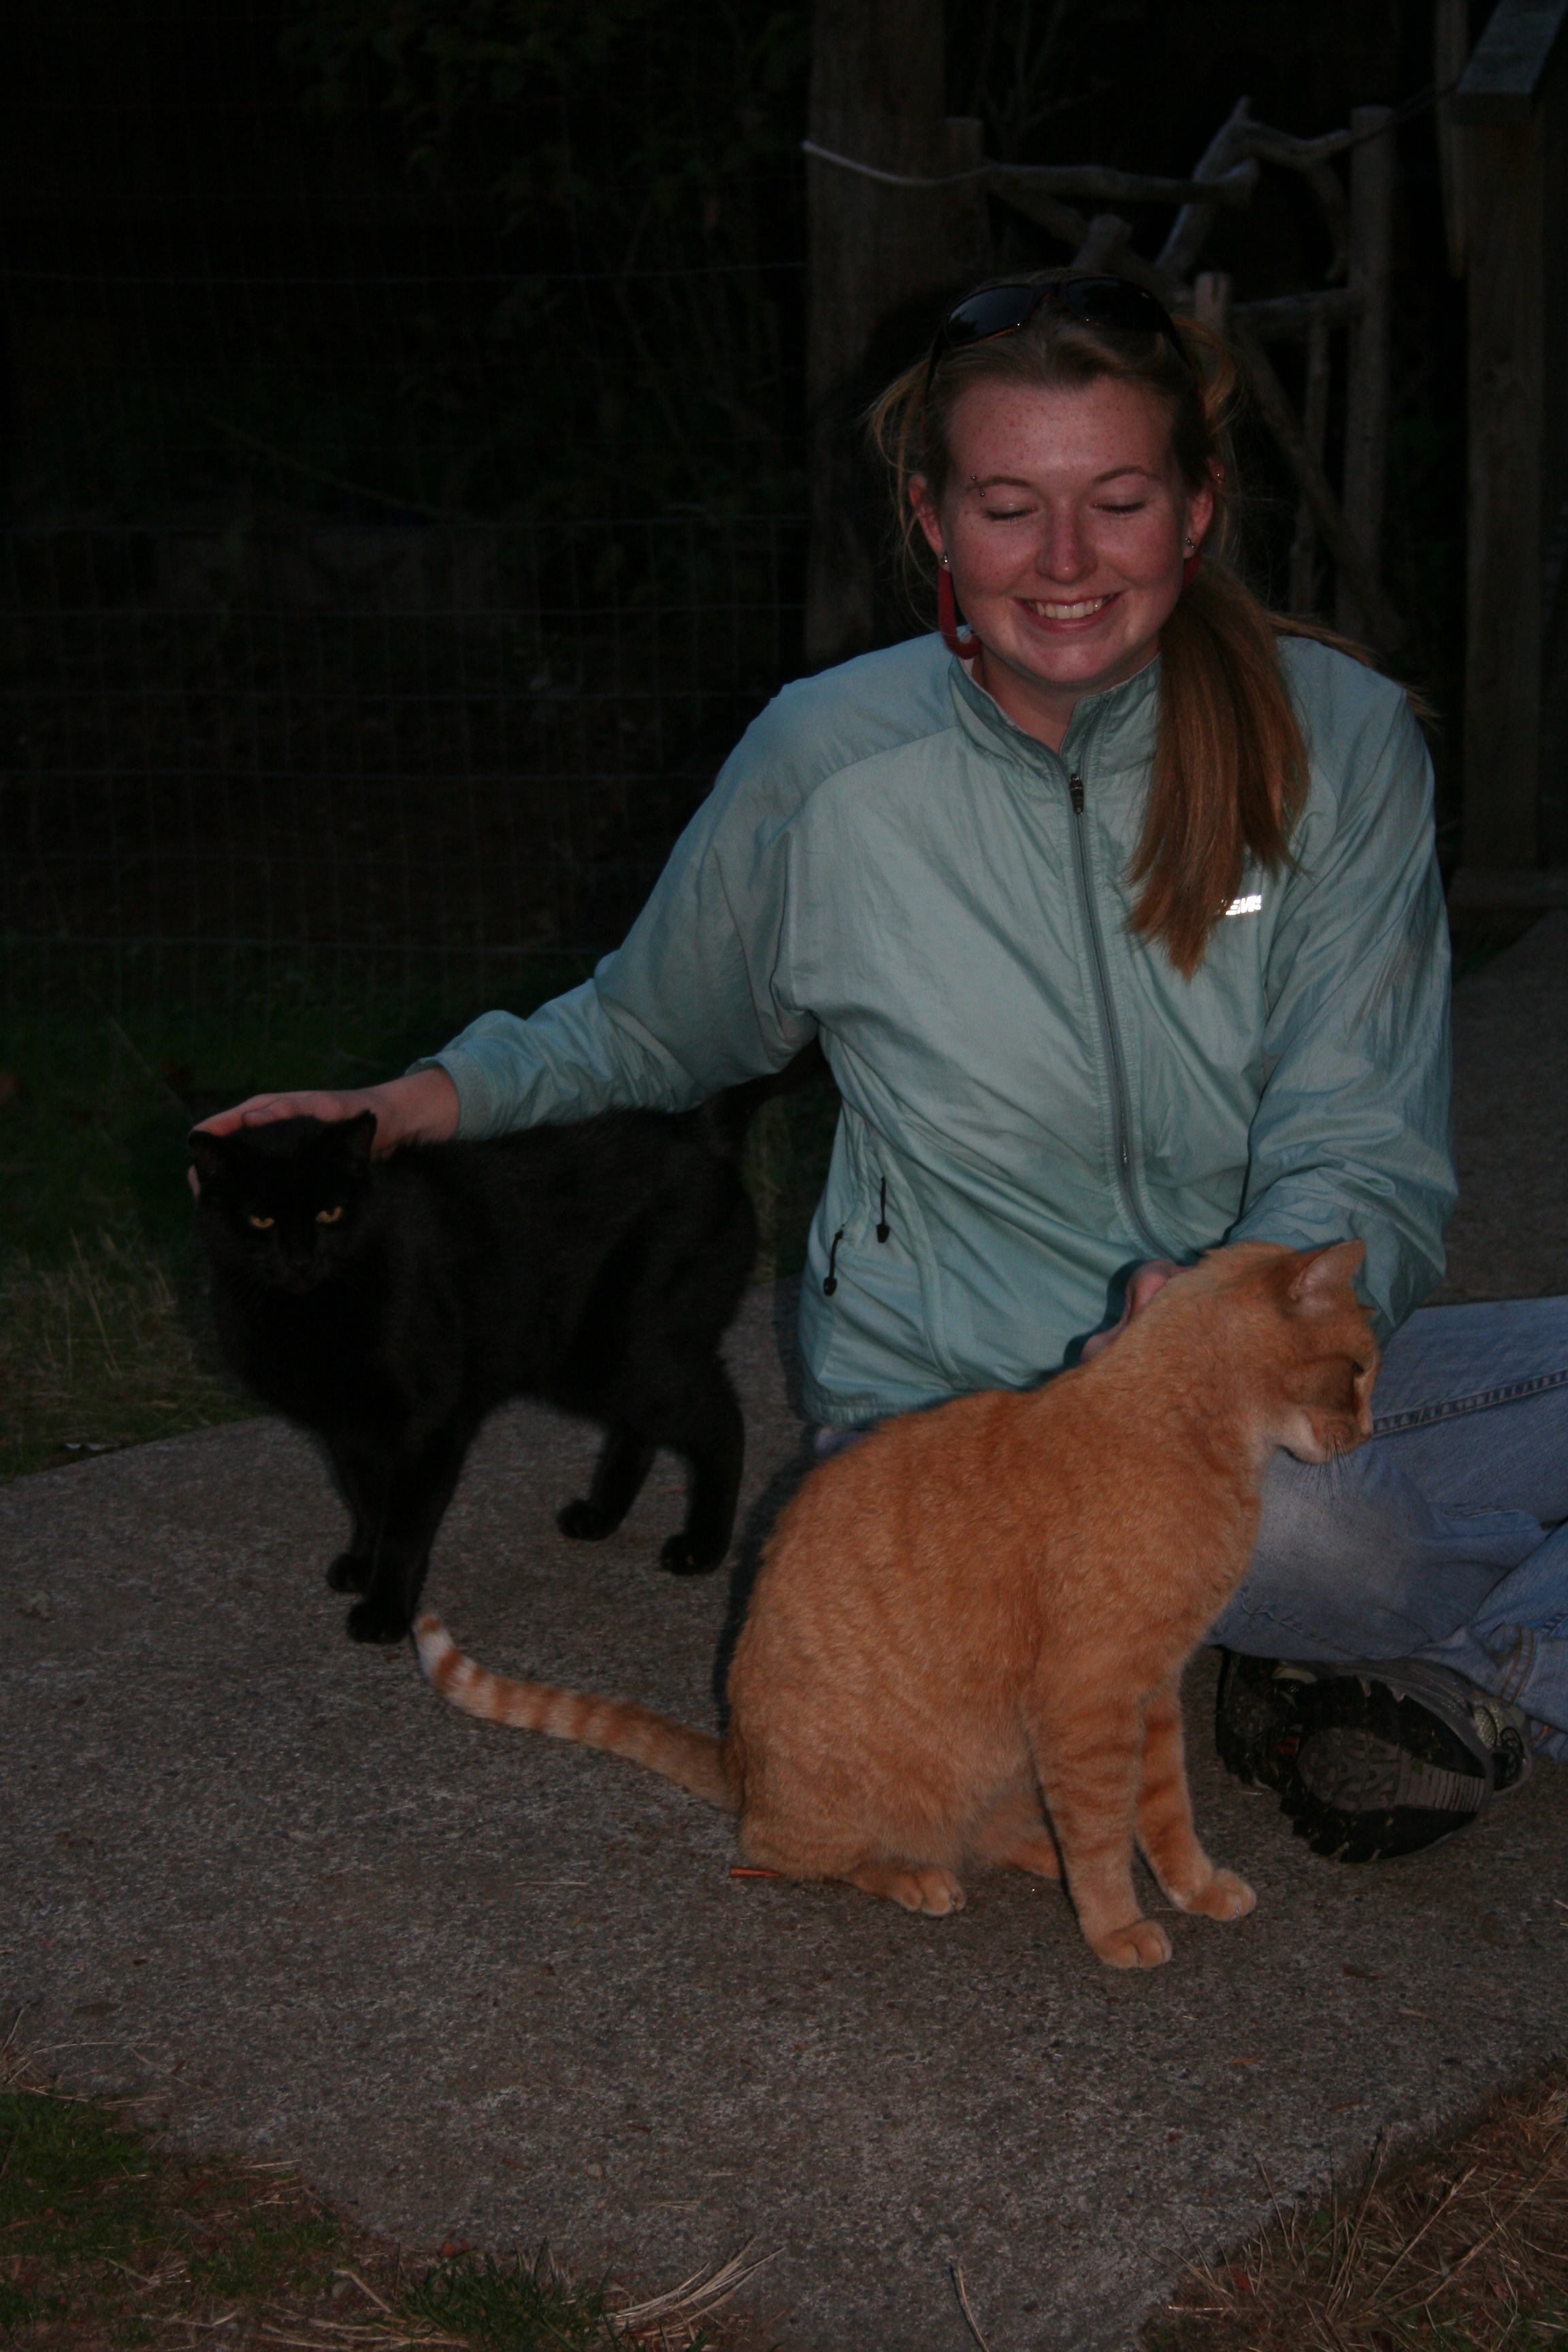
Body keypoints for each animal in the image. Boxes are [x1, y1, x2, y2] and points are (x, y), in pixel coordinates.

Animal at [188, 1081, 785, 1644]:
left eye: (329, 1212)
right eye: (261, 1220)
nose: (300, 1260)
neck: (313, 1311)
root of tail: (699, 1130)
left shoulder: (428, 1423)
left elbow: (403, 1525)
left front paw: (385, 1611)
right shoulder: (348, 1430)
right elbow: (367, 1505)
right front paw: (362, 1564)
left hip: (633, 1354)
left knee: (723, 1424)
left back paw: (703, 1546)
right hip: (594, 1363)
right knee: (640, 1431)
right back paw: (600, 1517)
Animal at [414, 1239, 1378, 1968]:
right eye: (1363, 1371)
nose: (1370, 1432)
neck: (1184, 1431)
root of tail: (738, 1763)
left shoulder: (1154, 1690)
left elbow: (1163, 1811)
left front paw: (1191, 1887)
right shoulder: (1091, 1698)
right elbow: (1107, 1833)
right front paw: (1117, 1926)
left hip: (1004, 1761)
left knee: (985, 1830)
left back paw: (1037, 1852)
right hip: (865, 1799)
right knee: (788, 1852)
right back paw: (920, 1877)